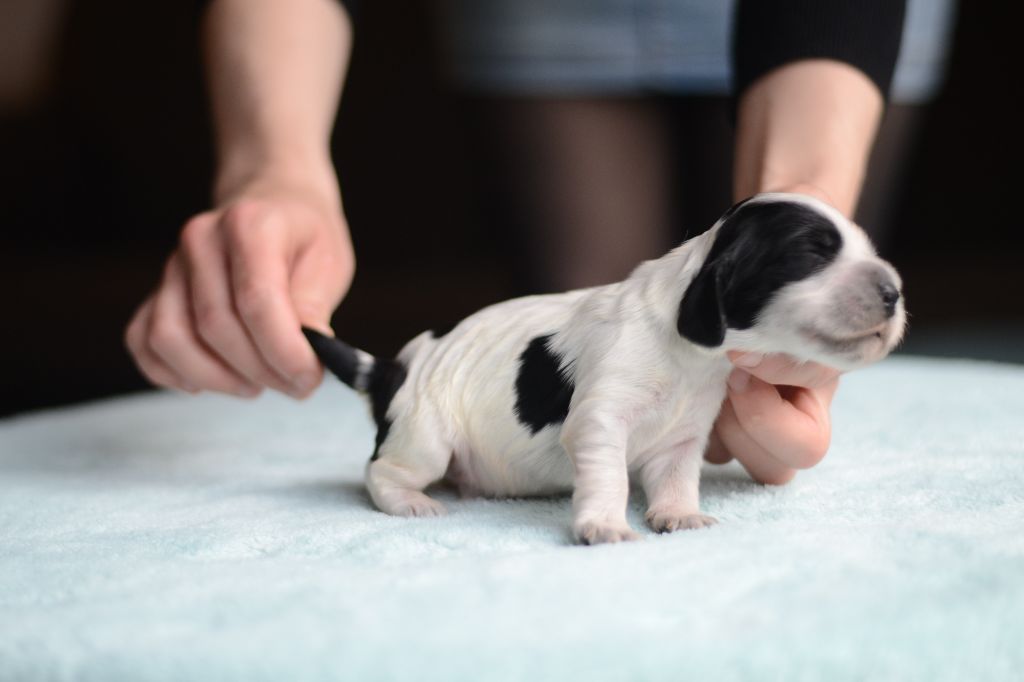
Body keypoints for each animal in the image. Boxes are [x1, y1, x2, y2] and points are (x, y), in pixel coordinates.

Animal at [303, 193, 906, 544]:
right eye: (812, 254)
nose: (895, 292)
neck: (692, 357)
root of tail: (395, 368)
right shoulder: (601, 419)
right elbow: (610, 475)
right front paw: (604, 526)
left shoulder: (682, 438)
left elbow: (676, 479)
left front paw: (678, 515)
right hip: (424, 435)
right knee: (380, 472)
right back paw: (412, 503)